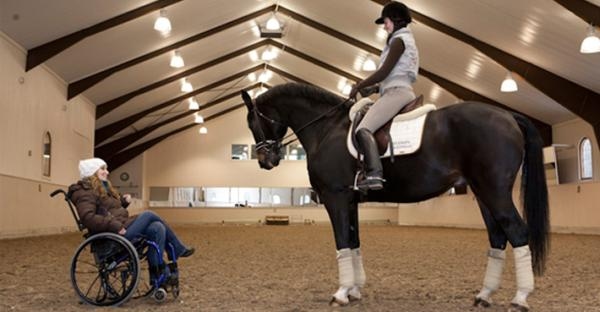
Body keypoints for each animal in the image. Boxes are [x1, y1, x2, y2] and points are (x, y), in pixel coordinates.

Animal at [240, 83, 548, 312]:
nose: (266, 161)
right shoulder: (350, 201)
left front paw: (341, 293)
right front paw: (355, 291)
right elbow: (354, 242)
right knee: (497, 237)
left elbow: (342, 243)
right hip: (483, 194)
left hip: (494, 191)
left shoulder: (335, 198)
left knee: (517, 232)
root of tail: (508, 116)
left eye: (253, 122)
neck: (327, 129)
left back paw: (520, 298)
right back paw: (484, 295)